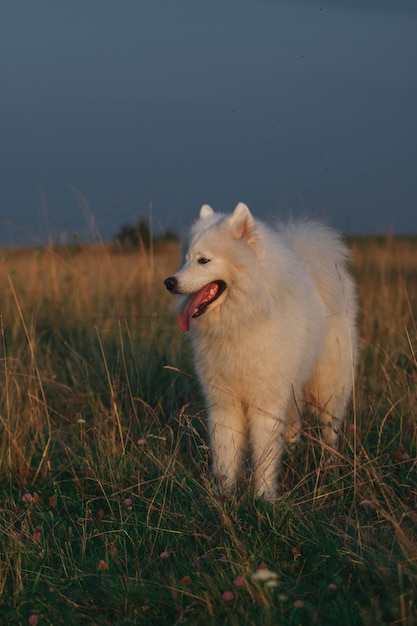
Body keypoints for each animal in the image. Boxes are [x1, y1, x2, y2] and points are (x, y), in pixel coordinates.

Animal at [164, 204, 356, 498]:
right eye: (185, 259)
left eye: (204, 261)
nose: (169, 282)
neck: (241, 320)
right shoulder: (224, 402)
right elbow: (226, 453)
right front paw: (224, 495)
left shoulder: (265, 403)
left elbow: (264, 456)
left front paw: (264, 498)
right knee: (294, 427)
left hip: (328, 385)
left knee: (329, 430)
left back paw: (331, 466)